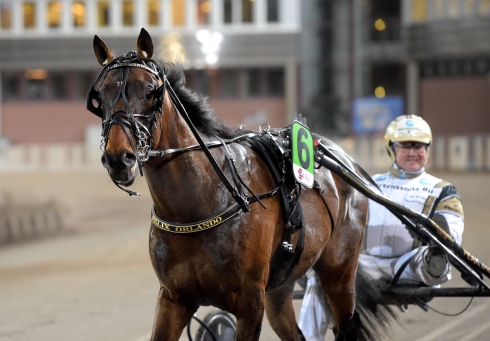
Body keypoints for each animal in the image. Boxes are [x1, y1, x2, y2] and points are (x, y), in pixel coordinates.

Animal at [88, 27, 394, 338]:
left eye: (150, 91)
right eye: (100, 96)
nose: (118, 158)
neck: (200, 201)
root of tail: (345, 158)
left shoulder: (250, 302)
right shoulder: (173, 299)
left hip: (339, 273)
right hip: (280, 287)